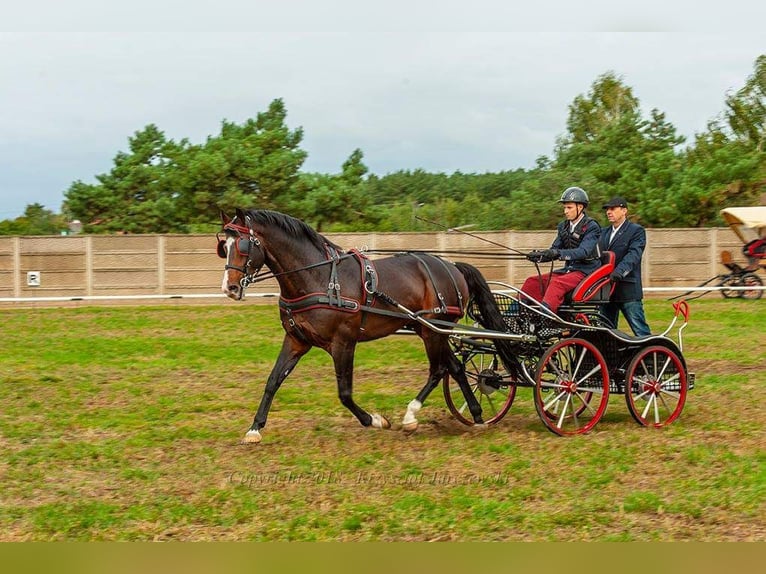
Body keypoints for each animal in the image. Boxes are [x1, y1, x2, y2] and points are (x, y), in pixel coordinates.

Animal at [218, 209, 510, 444]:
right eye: (224, 246)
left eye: (243, 245)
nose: (229, 288)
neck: (318, 277)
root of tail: (452, 266)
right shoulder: (296, 340)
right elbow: (273, 380)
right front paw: (254, 429)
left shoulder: (343, 342)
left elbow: (345, 393)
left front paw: (376, 420)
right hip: (430, 329)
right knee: (456, 368)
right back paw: (477, 416)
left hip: (433, 330)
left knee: (438, 369)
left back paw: (411, 416)